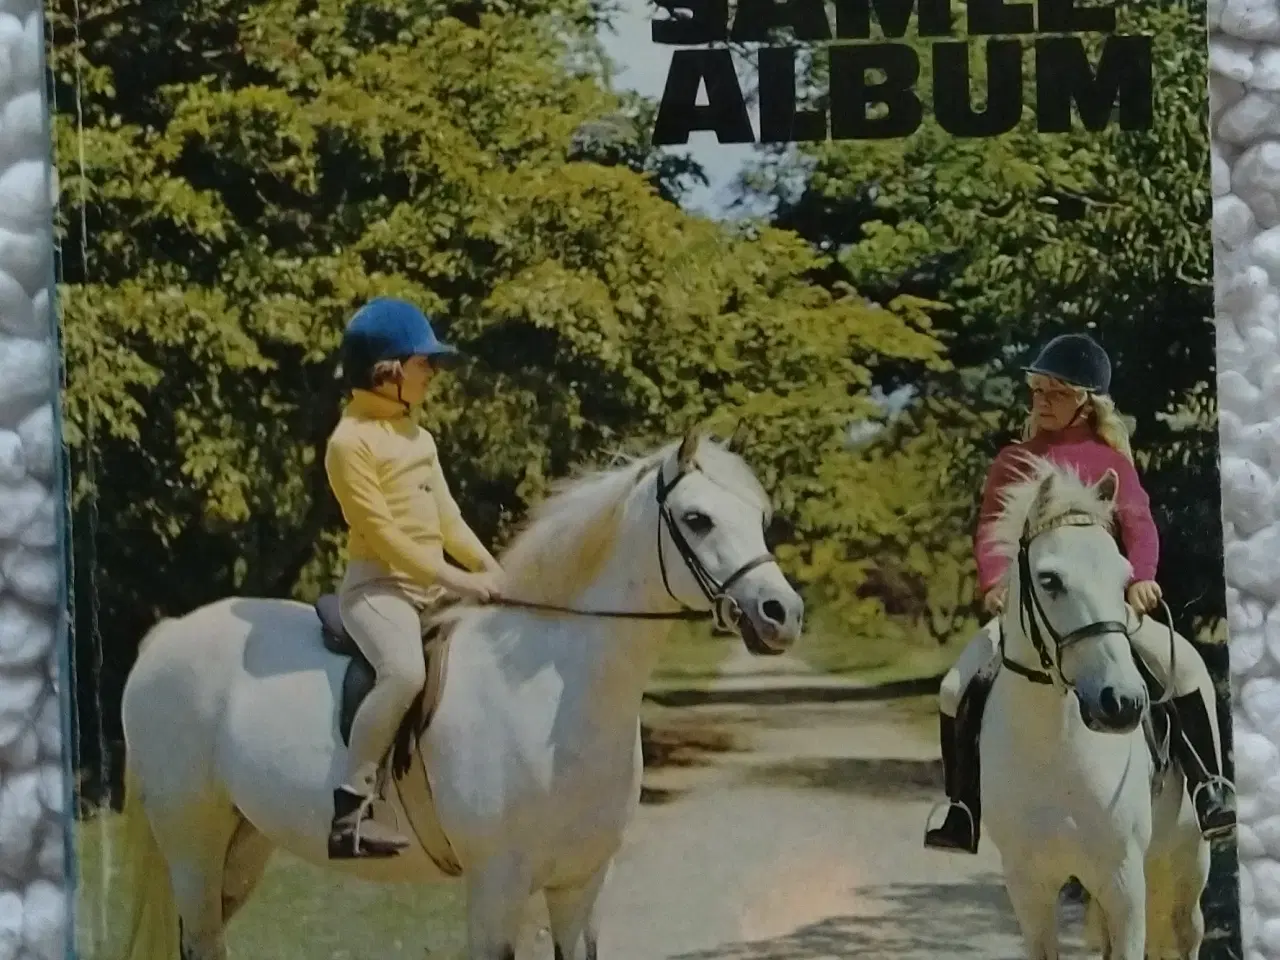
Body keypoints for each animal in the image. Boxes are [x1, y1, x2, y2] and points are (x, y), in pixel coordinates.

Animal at [110, 432, 798, 960]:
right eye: (697, 519)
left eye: (758, 518)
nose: (781, 614)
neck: (552, 690)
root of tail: (167, 635)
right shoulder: (496, 888)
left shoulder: (581, 885)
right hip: (192, 843)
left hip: (243, 845)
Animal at [972, 460, 1213, 960]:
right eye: (1050, 580)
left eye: (1123, 579)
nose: (1122, 703)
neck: (1053, 748)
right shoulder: (1030, 887)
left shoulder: (1124, 882)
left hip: (1187, 866)